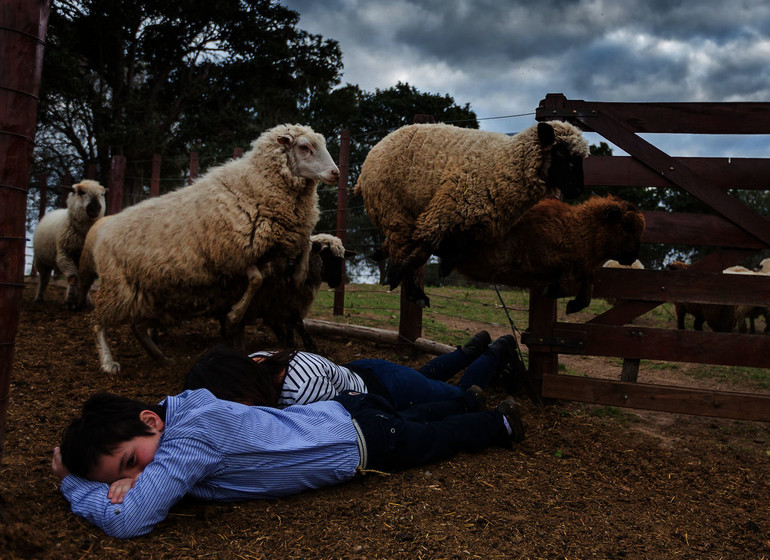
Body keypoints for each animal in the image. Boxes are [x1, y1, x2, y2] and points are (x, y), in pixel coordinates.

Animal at [32, 179, 106, 308]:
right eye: (81, 192)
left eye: (102, 194)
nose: (96, 208)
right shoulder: (65, 254)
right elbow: (73, 278)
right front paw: (70, 301)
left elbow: (85, 280)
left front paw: (85, 301)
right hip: (40, 259)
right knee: (44, 278)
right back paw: (39, 298)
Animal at [88, 124, 338, 374]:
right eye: (304, 147)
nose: (335, 173)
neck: (254, 184)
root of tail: (104, 229)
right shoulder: (233, 253)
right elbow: (256, 279)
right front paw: (234, 316)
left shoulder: (279, 241)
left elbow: (305, 245)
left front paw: (299, 275)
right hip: (118, 288)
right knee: (98, 322)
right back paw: (108, 361)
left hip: (164, 300)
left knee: (137, 327)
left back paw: (159, 357)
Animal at [354, 120, 588, 308]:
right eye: (561, 152)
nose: (578, 189)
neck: (503, 164)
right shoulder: (445, 209)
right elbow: (423, 249)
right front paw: (394, 277)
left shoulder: (474, 225)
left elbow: (454, 249)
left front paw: (444, 266)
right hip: (393, 208)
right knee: (401, 246)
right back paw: (413, 291)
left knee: (398, 245)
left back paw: (382, 256)